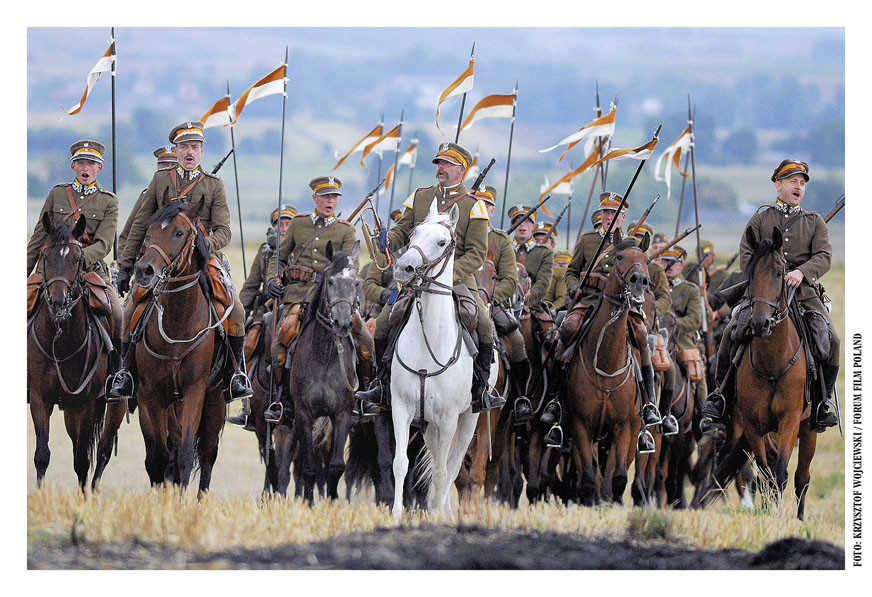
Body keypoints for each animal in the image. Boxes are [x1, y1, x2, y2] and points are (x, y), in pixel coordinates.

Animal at [27, 212, 110, 492]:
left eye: (77, 259)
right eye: (45, 256)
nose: (58, 302)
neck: (60, 342)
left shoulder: (85, 404)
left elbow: (82, 460)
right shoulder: (39, 398)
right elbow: (42, 454)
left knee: (101, 452)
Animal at [130, 198, 227, 496]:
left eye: (179, 233)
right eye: (149, 231)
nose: (144, 270)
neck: (178, 322)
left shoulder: (194, 392)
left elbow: (183, 455)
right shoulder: (150, 394)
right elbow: (158, 457)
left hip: (215, 400)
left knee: (207, 454)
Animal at [392, 203, 480, 520]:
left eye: (442, 242)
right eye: (413, 233)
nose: (403, 268)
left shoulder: (449, 418)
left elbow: (443, 472)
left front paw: (439, 519)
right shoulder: (401, 407)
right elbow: (400, 464)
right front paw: (395, 516)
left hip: (468, 419)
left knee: (451, 466)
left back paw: (445, 514)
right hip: (429, 424)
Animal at [700, 227, 816, 516]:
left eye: (779, 273)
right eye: (751, 275)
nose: (760, 322)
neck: (772, 363)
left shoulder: (790, 420)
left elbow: (782, 473)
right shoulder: (752, 425)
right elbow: (765, 472)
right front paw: (768, 510)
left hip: (809, 427)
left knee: (802, 478)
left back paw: (799, 518)